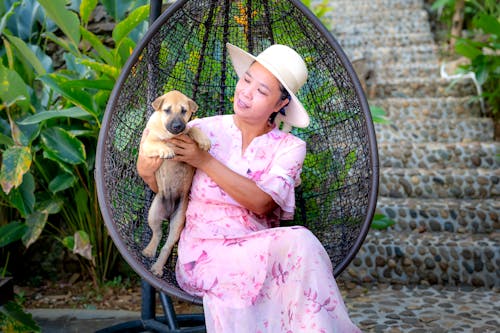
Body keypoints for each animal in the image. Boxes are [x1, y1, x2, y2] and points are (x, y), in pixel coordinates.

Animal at [142, 90, 210, 274]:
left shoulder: (187, 130)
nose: (178, 126)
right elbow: (157, 143)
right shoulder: (146, 144)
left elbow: (192, 128)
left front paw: (204, 140)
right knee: (157, 234)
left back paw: (158, 268)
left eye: (184, 111)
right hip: (153, 213)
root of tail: (168, 213)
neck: (170, 135)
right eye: (167, 110)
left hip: (178, 221)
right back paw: (149, 251)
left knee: (166, 245)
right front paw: (166, 150)